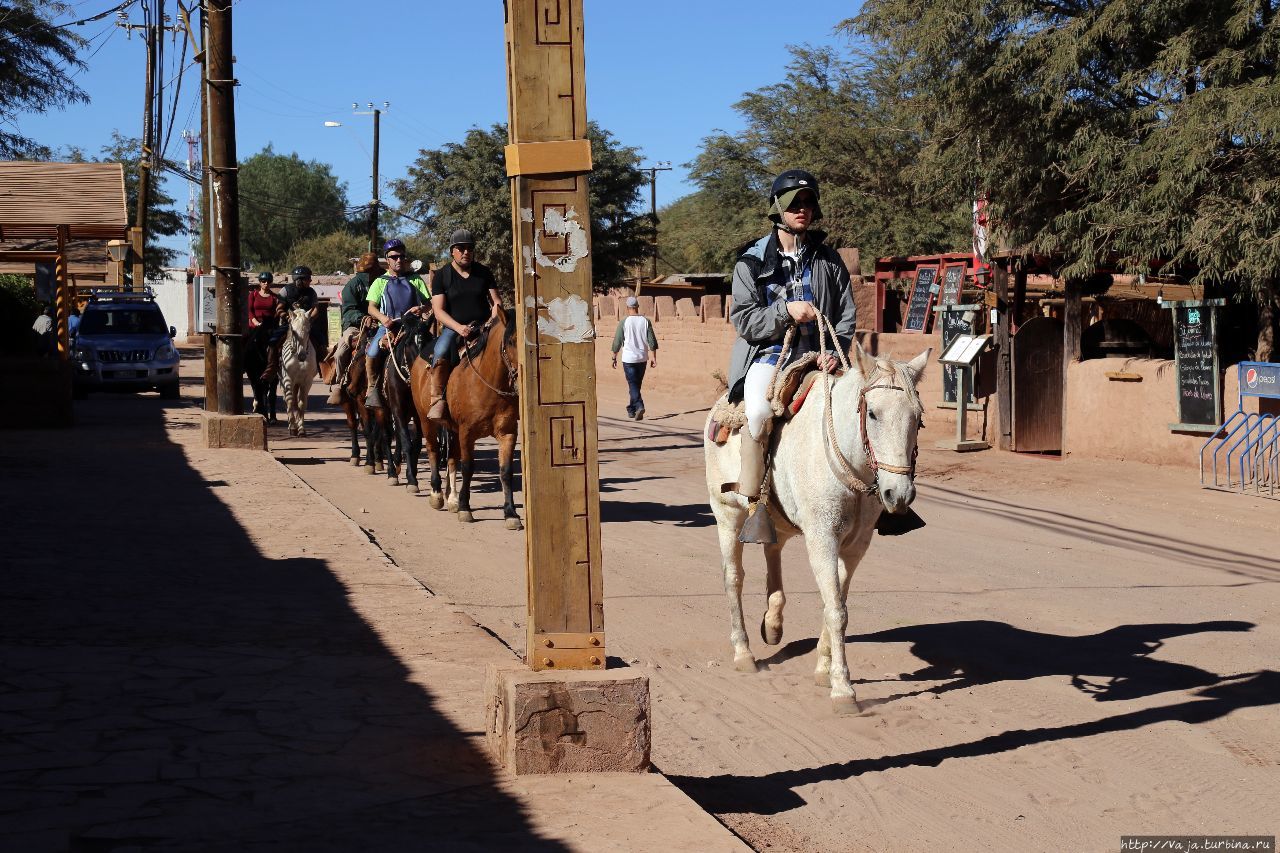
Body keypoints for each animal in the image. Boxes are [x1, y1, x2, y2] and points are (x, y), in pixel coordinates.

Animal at [280, 306, 317, 435]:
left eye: (309, 331)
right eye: (293, 331)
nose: (302, 356)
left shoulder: (307, 381)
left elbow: (302, 403)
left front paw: (301, 428)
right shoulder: (288, 379)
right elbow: (290, 401)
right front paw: (292, 427)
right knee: (288, 399)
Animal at [404, 308, 514, 525]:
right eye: (512, 341)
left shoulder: (507, 433)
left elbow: (505, 471)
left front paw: (511, 514)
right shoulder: (467, 432)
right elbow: (468, 467)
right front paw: (465, 508)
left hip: (451, 428)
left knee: (452, 458)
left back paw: (452, 498)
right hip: (426, 421)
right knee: (433, 450)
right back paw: (437, 494)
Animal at [706, 338, 926, 712]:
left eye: (919, 418)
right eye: (872, 413)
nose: (898, 494)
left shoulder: (855, 547)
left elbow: (835, 604)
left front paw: (824, 670)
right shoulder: (822, 539)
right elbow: (837, 610)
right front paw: (843, 689)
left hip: (776, 518)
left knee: (773, 547)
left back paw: (773, 622)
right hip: (726, 515)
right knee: (733, 577)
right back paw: (744, 652)